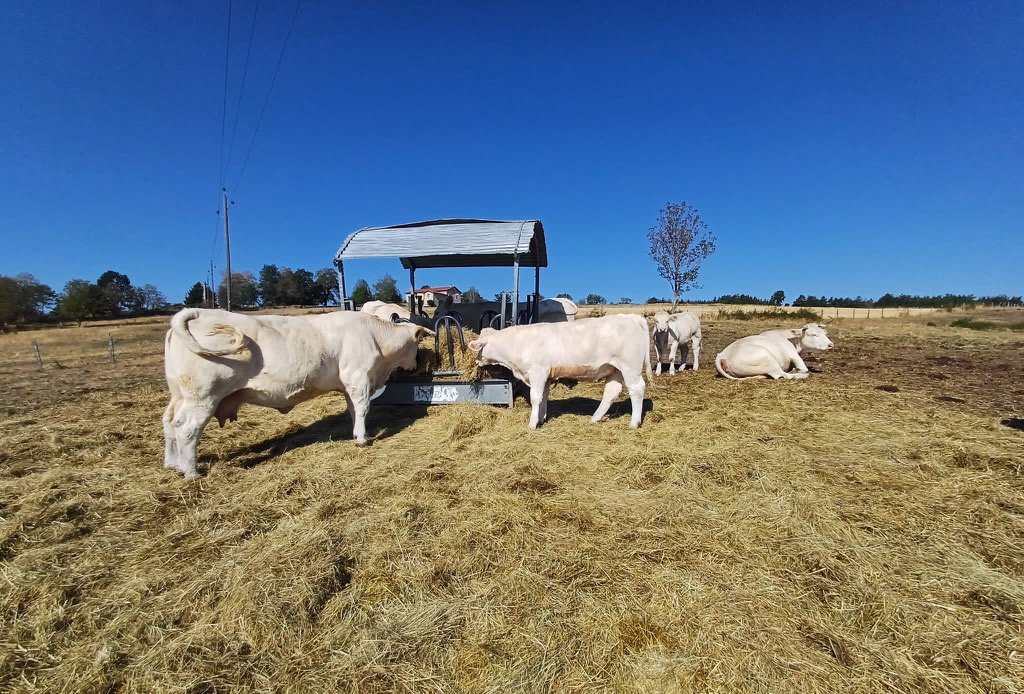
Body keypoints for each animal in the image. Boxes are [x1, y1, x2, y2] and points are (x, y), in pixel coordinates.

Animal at [163, 308, 431, 478]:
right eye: (417, 344)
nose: (415, 365)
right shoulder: (358, 377)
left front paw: (358, 433)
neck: (374, 336)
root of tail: (198, 314)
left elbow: (353, 410)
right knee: (187, 429)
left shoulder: (350, 384)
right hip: (202, 397)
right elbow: (363, 407)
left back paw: (173, 464)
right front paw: (363, 440)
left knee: (169, 423)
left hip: (179, 396)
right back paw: (191, 472)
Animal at [467, 314, 652, 429]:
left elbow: (535, 398)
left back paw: (634, 423)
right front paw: (541, 418)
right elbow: (544, 397)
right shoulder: (547, 376)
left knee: (637, 389)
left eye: (479, 347)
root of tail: (629, 317)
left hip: (630, 367)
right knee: (611, 392)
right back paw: (595, 418)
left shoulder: (538, 372)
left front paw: (532, 424)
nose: (476, 360)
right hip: (614, 369)